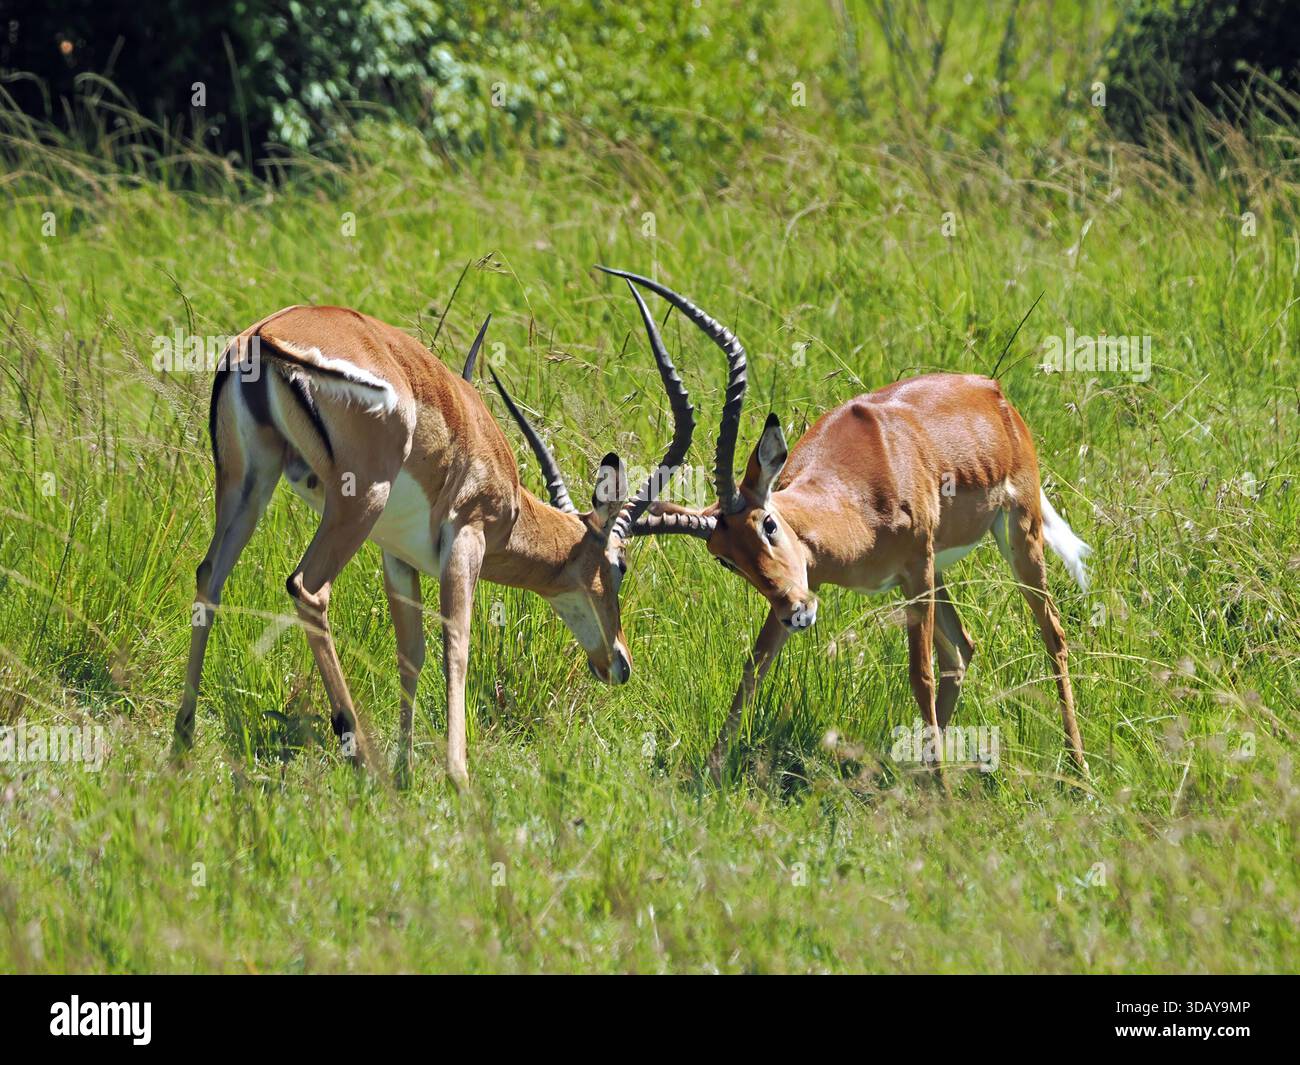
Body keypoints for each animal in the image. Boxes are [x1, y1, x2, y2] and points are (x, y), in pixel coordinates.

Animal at [172, 286, 694, 788]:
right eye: (620, 565)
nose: (620, 663)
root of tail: (262, 336)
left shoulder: (396, 554)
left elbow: (412, 653)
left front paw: (406, 770)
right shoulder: (467, 539)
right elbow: (456, 646)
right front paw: (458, 777)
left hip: (248, 482)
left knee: (209, 576)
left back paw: (184, 745)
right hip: (358, 503)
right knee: (307, 588)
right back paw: (360, 756)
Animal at [602, 267, 1091, 780]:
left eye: (768, 524)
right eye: (725, 561)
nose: (797, 614)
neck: (854, 504)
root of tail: (992, 392)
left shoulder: (905, 570)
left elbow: (919, 675)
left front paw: (944, 789)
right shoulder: (809, 581)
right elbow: (752, 670)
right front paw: (710, 776)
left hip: (1014, 538)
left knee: (1051, 635)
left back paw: (1078, 770)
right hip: (935, 571)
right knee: (961, 650)